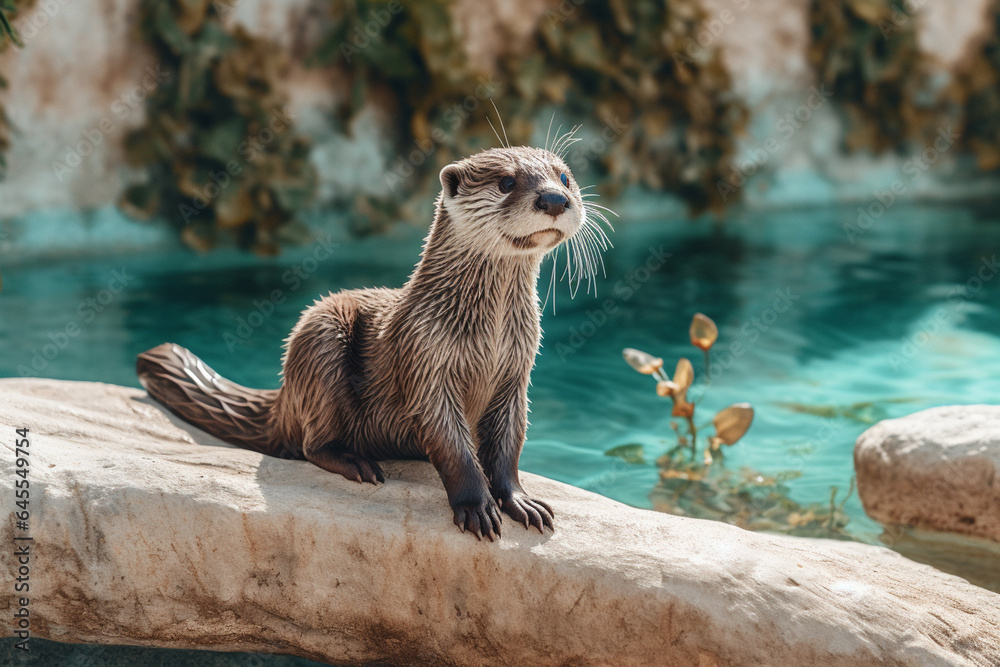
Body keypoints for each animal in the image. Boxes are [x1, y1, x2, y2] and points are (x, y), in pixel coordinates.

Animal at [137, 142, 611, 541]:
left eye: (564, 177)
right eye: (507, 182)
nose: (554, 200)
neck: (487, 338)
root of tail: (284, 398)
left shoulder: (516, 373)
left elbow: (509, 444)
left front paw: (520, 501)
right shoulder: (425, 357)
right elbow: (453, 446)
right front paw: (477, 506)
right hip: (320, 338)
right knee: (310, 445)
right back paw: (357, 464)